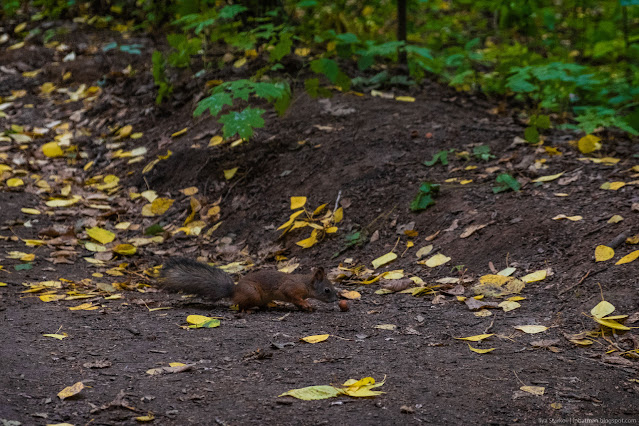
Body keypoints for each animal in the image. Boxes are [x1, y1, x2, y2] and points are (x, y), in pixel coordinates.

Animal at [160, 256, 340, 312]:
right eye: (327, 290)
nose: (336, 300)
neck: (305, 283)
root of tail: (234, 290)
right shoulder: (290, 288)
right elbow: (293, 296)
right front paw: (306, 303)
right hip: (252, 293)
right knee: (241, 305)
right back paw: (248, 310)